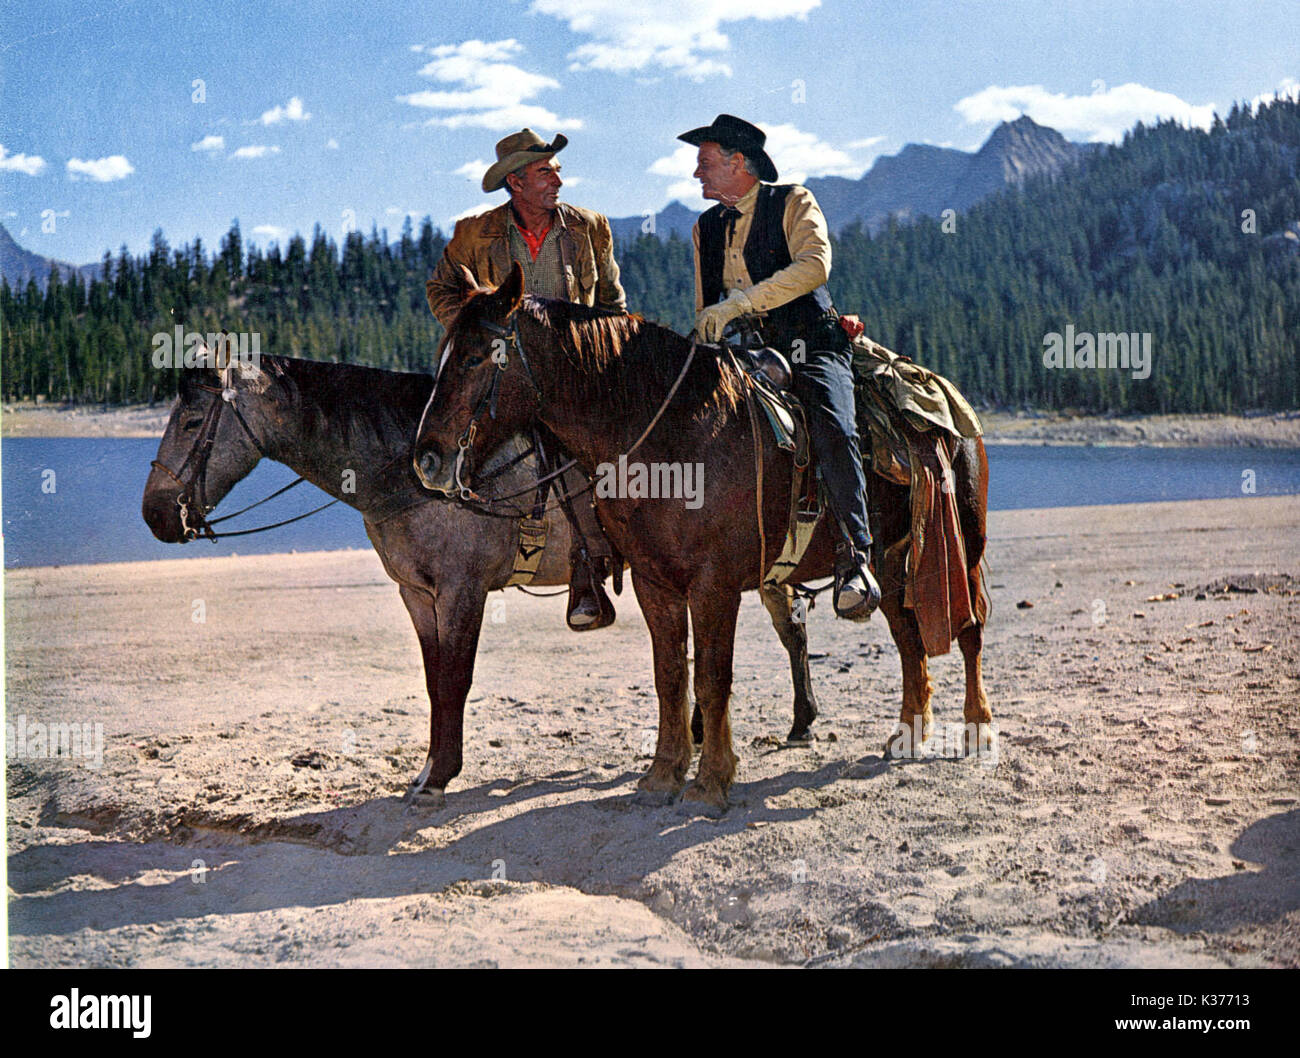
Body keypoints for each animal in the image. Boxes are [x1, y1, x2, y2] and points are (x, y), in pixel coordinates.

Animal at [137, 350, 816, 805]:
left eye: (192, 423)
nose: (155, 515)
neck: (411, 472)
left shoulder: (461, 592)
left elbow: (454, 682)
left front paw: (440, 777)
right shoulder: (418, 595)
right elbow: (434, 680)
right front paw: (428, 770)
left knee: (790, 630)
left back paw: (798, 723)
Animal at [416, 265, 993, 811]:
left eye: (474, 357)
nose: (427, 459)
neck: (675, 437)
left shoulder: (714, 585)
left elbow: (713, 678)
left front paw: (711, 782)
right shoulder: (655, 583)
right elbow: (670, 675)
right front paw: (662, 775)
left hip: (965, 542)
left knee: (970, 629)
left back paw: (978, 728)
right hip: (894, 557)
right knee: (907, 636)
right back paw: (909, 733)